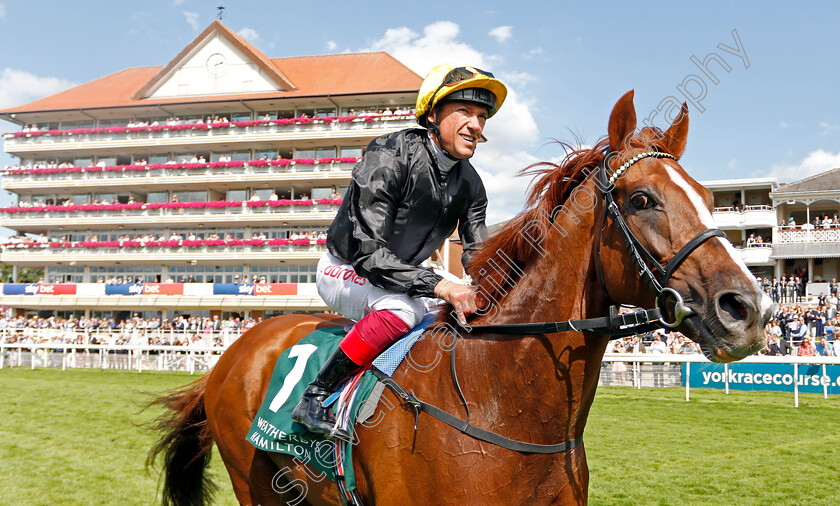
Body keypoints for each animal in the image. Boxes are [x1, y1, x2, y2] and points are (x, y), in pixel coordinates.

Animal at [149, 92, 776, 506]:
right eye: (642, 198)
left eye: (708, 199)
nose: (749, 310)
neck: (499, 398)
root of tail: (235, 349)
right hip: (253, 478)